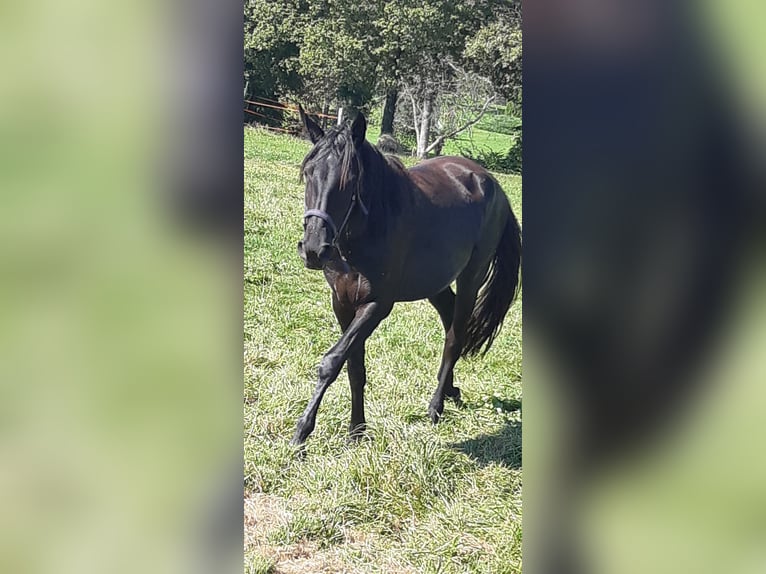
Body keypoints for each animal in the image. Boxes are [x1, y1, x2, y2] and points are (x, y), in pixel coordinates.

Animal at [292, 109, 520, 450]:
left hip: (472, 277)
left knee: (455, 336)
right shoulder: (342, 303)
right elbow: (354, 367)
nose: (314, 250)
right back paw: (450, 390)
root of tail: (492, 184)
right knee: (450, 319)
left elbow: (332, 362)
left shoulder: (377, 305)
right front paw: (357, 429)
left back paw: (436, 406)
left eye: (350, 180)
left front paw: (302, 431)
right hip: (435, 283)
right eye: (308, 173)